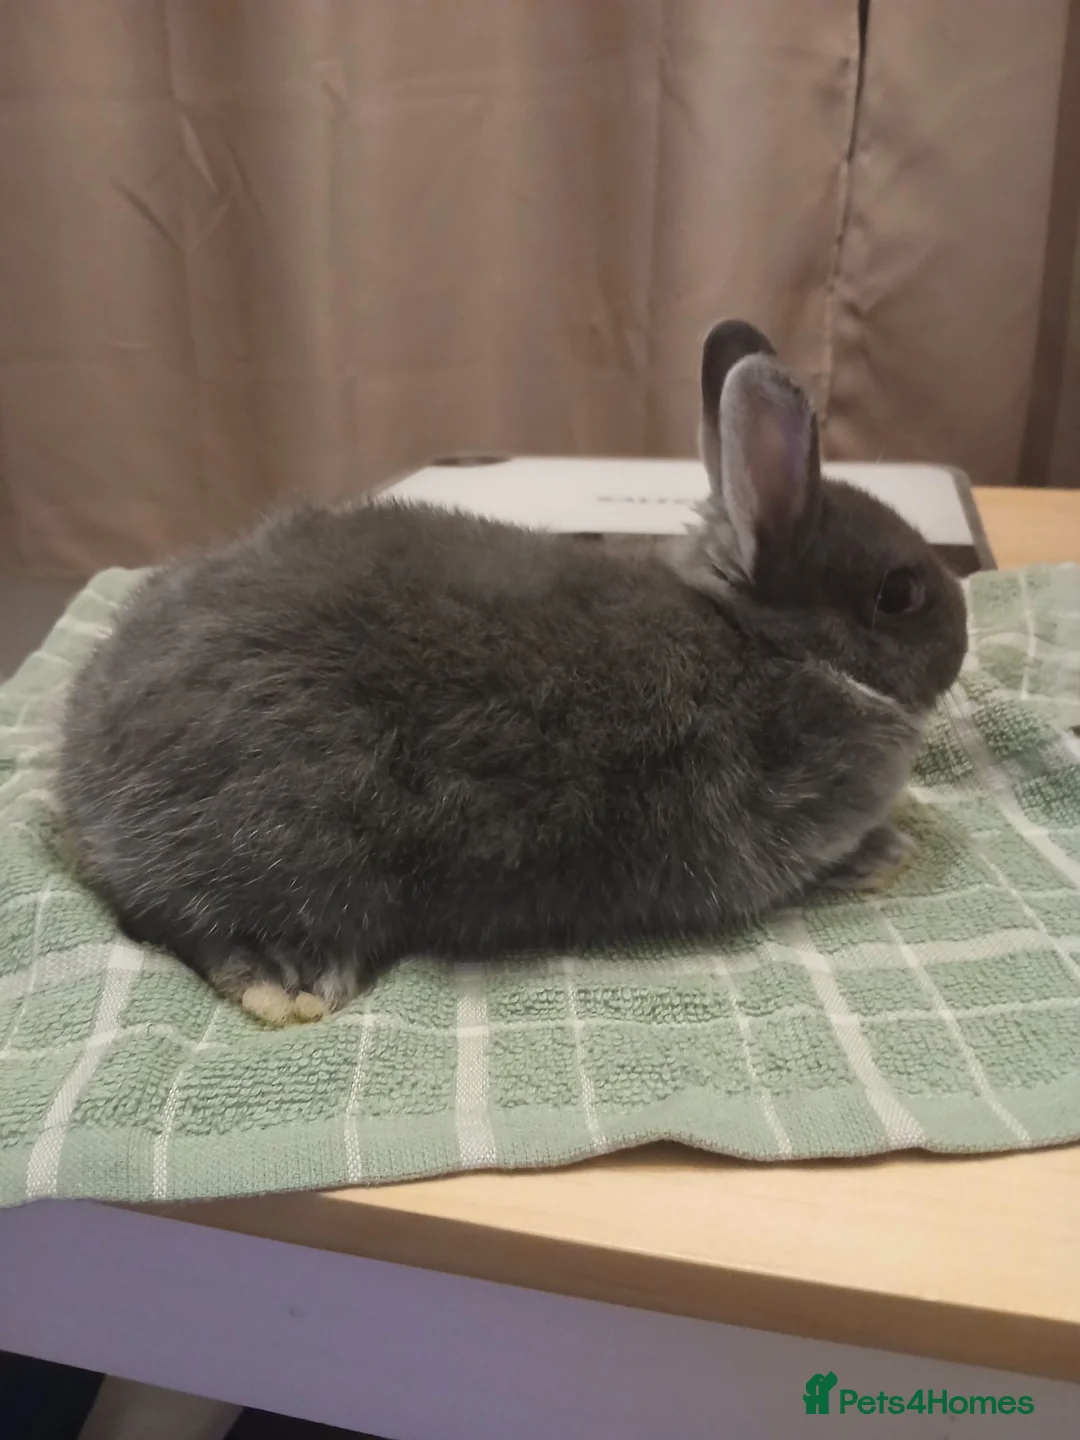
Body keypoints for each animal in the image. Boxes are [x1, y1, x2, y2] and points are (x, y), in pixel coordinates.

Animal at [57, 319, 968, 1025]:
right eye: (899, 593)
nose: (961, 639)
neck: (764, 640)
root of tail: (82, 779)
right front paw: (883, 854)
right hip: (291, 827)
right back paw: (292, 980)